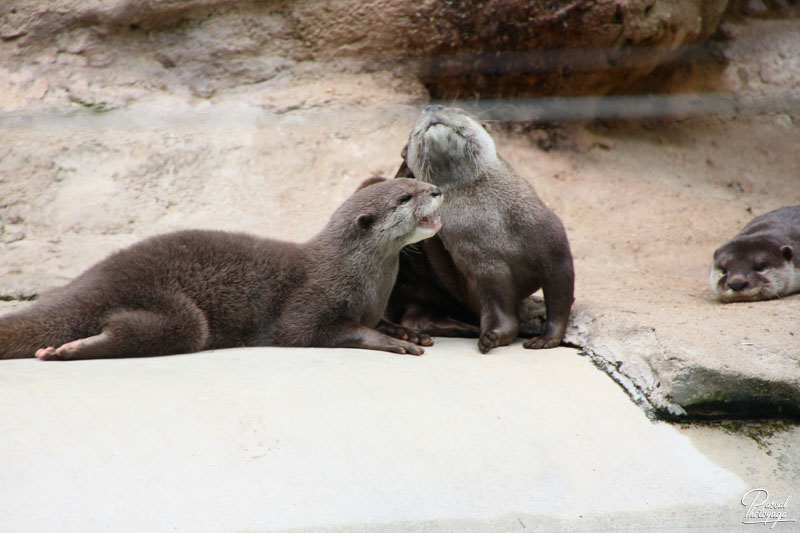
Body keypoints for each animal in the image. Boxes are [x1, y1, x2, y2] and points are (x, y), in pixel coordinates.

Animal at [0, 177, 444, 360]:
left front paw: (404, 330)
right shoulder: (311, 298)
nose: (438, 190)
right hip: (171, 308)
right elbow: (307, 330)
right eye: (406, 197)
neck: (366, 280)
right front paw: (388, 341)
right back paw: (70, 350)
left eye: (417, 183)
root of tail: (96, 278)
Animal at [388, 105, 576, 352]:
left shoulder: (552, 244)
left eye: (458, 110)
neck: (496, 228)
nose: (433, 106)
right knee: (414, 318)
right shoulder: (482, 266)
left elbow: (560, 296)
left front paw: (547, 339)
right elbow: (498, 307)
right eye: (412, 132)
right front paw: (493, 335)